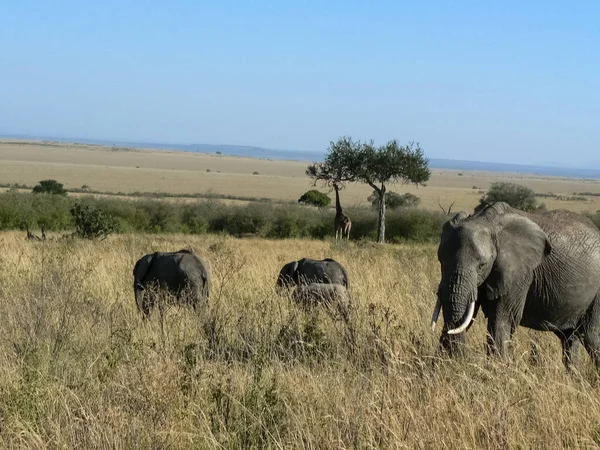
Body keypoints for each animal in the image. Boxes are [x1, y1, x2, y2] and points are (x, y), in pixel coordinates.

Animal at [434, 202, 600, 370]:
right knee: (570, 338)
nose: (462, 362)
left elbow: (503, 320)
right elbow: (467, 317)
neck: (486, 220)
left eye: (482, 265)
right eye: (440, 261)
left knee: (591, 336)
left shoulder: (518, 273)